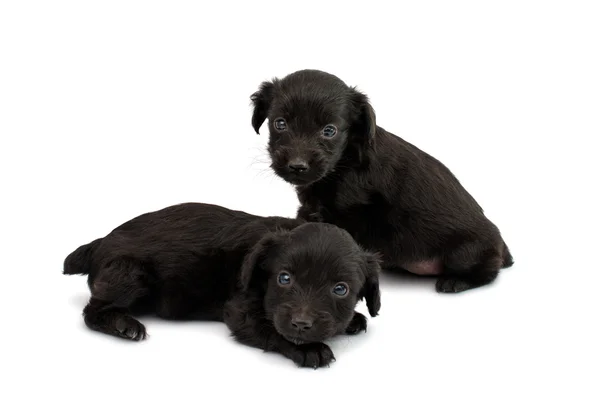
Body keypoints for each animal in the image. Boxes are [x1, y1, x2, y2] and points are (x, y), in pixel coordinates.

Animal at [62, 204, 380, 368]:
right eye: (284, 278)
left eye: (341, 289)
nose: (301, 324)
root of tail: (100, 242)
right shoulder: (241, 309)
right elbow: (270, 329)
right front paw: (310, 349)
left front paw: (354, 318)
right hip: (128, 273)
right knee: (92, 310)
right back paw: (123, 325)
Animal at [251, 69, 512, 292]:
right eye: (280, 123)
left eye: (329, 130)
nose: (297, 165)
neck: (342, 162)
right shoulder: (311, 207)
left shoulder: (350, 214)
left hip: (465, 253)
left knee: (488, 271)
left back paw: (457, 281)